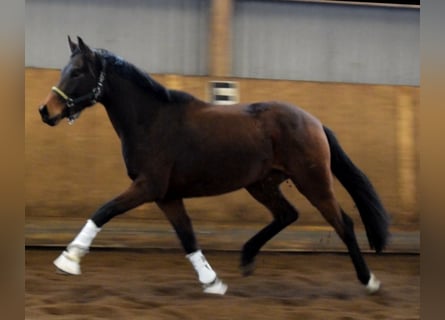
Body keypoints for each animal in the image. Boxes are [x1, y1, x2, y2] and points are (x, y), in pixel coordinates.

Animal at [38, 37, 386, 296]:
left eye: (78, 71)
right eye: (65, 69)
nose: (46, 111)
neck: (151, 120)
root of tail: (314, 122)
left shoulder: (148, 186)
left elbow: (104, 211)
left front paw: (68, 260)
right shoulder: (167, 195)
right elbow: (188, 237)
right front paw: (213, 282)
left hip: (312, 181)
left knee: (343, 223)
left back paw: (369, 281)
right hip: (261, 184)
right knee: (288, 214)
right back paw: (246, 257)